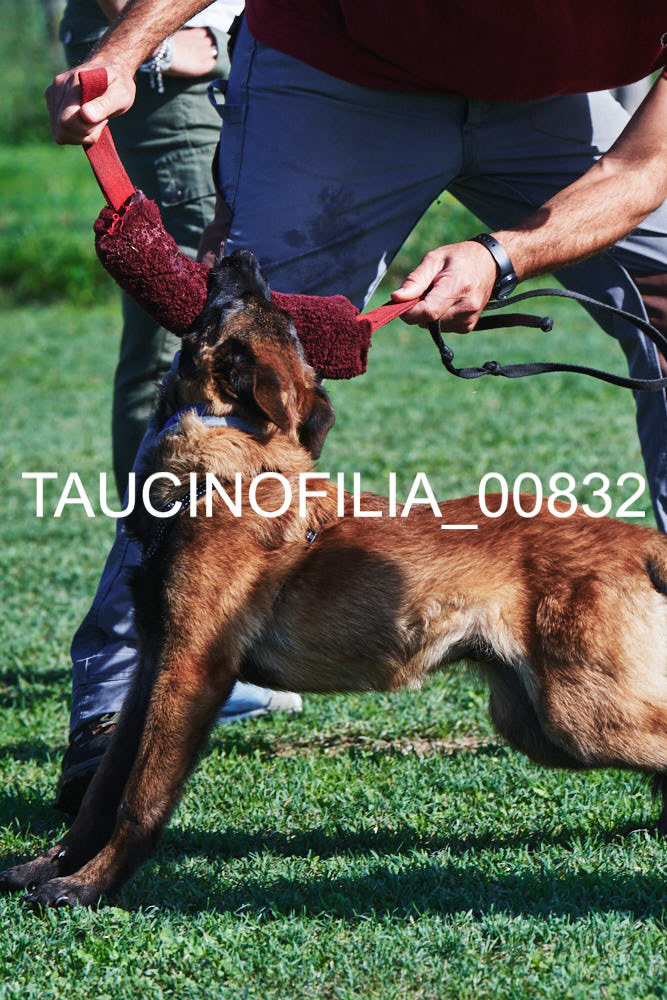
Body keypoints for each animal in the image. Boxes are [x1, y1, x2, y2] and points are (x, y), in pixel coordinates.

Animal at [2, 250, 666, 908]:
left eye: (239, 304)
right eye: (276, 316)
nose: (243, 255)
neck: (223, 469)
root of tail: (634, 537)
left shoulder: (191, 668)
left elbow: (140, 798)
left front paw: (89, 886)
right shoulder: (150, 669)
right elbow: (101, 793)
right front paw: (46, 866)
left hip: (578, 715)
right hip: (532, 718)